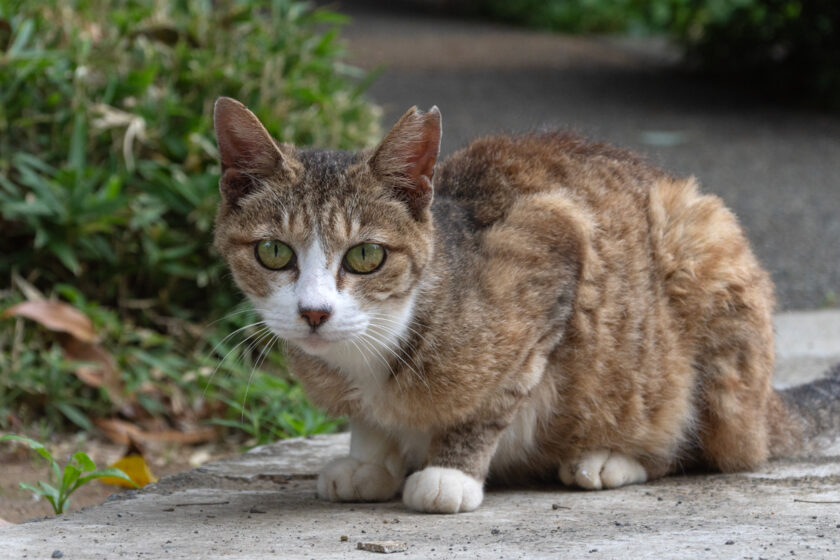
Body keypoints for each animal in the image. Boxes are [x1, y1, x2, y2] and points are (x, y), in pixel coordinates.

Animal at [212, 96, 840, 512]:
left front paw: (450, 471)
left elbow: (499, 396)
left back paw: (615, 457)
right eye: (273, 252)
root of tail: (765, 407)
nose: (314, 313)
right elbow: (369, 418)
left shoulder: (556, 244)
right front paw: (371, 459)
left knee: (708, 444)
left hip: (704, 260)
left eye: (366, 256)